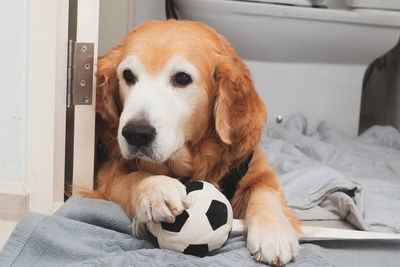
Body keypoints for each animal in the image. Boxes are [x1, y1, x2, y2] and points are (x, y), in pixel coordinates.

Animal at [86, 20, 302, 266]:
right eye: (128, 75)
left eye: (182, 78)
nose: (136, 133)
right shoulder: (108, 175)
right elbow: (132, 178)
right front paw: (155, 188)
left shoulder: (256, 166)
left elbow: (264, 191)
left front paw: (274, 232)